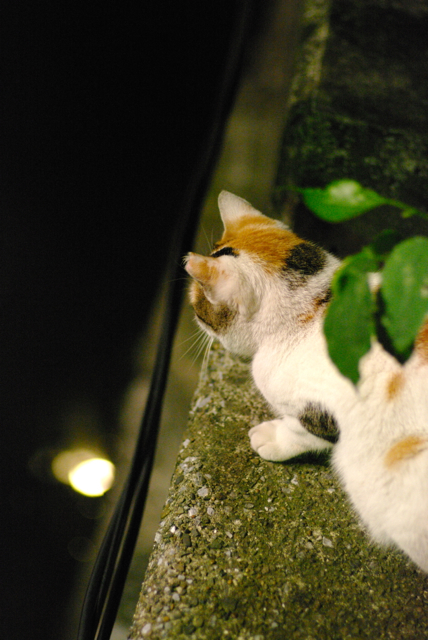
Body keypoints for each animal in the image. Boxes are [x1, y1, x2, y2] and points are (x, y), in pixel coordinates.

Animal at [184, 190, 428, 573]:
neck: (317, 305)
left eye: (198, 309)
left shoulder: (322, 411)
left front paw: (271, 437)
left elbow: (299, 431)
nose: (192, 313)